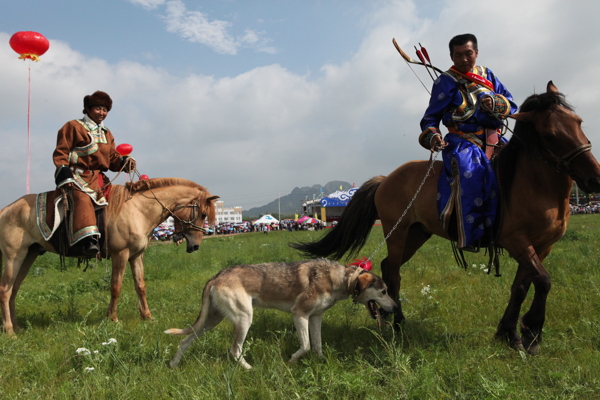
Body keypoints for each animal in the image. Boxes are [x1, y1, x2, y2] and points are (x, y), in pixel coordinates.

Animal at [0, 178, 219, 334]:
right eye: (201, 213)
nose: (196, 245)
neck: (138, 210)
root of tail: (5, 210)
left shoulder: (136, 255)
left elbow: (140, 286)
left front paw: (147, 316)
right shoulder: (120, 254)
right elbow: (116, 286)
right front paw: (112, 318)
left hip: (29, 255)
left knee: (14, 289)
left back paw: (16, 326)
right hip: (13, 257)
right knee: (5, 289)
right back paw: (9, 330)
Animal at [292, 81, 600, 354]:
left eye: (579, 121)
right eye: (549, 135)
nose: (594, 178)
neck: (531, 183)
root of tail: (386, 179)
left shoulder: (542, 245)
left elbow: (522, 286)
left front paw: (509, 332)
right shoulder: (517, 241)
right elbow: (543, 281)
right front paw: (531, 333)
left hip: (417, 233)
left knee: (388, 265)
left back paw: (391, 315)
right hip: (398, 231)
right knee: (394, 271)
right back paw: (399, 323)